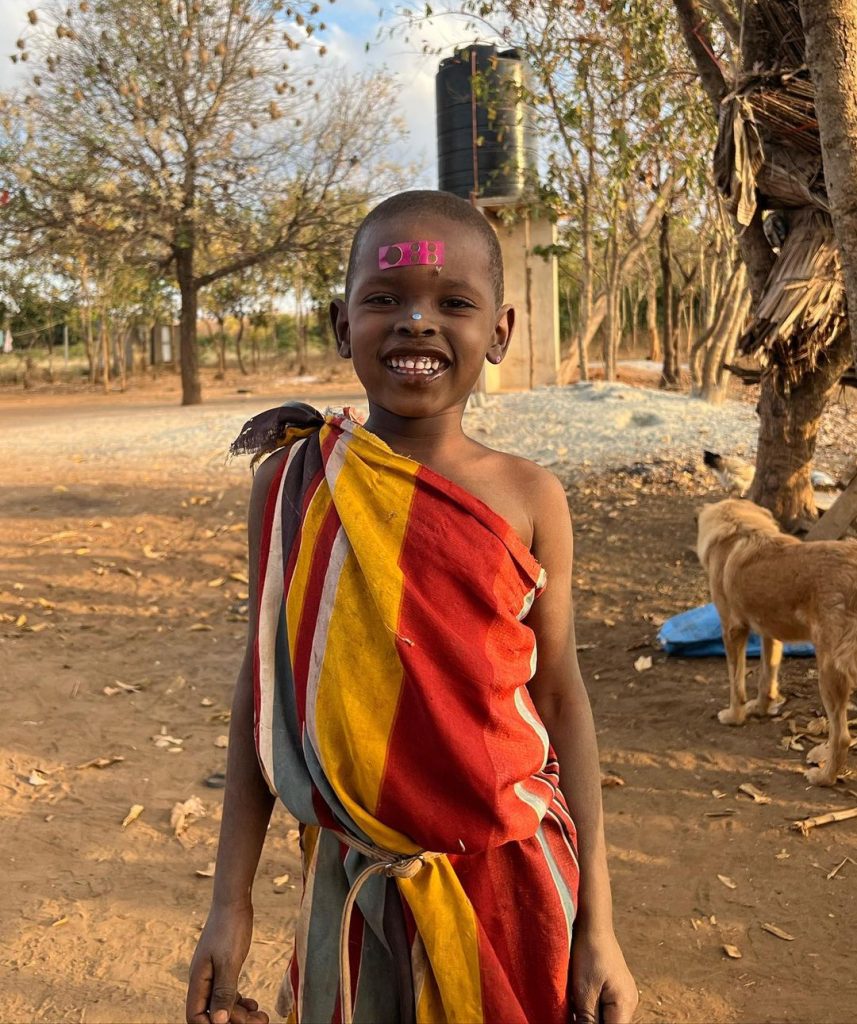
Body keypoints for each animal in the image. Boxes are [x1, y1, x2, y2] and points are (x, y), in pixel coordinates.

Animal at [696, 499, 855, 786]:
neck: (740, 529)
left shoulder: (732, 630)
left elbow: (736, 684)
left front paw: (734, 717)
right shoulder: (770, 632)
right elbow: (766, 678)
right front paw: (761, 708)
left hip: (831, 671)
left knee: (841, 737)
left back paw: (824, 777)